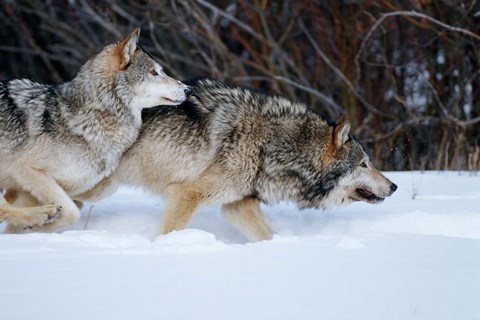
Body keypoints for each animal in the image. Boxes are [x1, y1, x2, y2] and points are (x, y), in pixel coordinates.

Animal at [0, 27, 191, 232]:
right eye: (153, 72)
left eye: (159, 72)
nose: (188, 89)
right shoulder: (26, 170)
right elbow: (72, 213)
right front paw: (39, 229)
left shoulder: (32, 188)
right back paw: (42, 214)